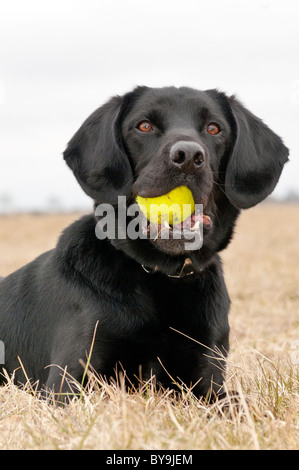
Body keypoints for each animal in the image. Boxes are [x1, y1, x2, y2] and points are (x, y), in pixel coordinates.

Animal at [0, 87, 290, 400]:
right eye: (144, 126)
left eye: (214, 128)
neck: (160, 275)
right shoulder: (69, 382)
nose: (188, 156)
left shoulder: (207, 378)